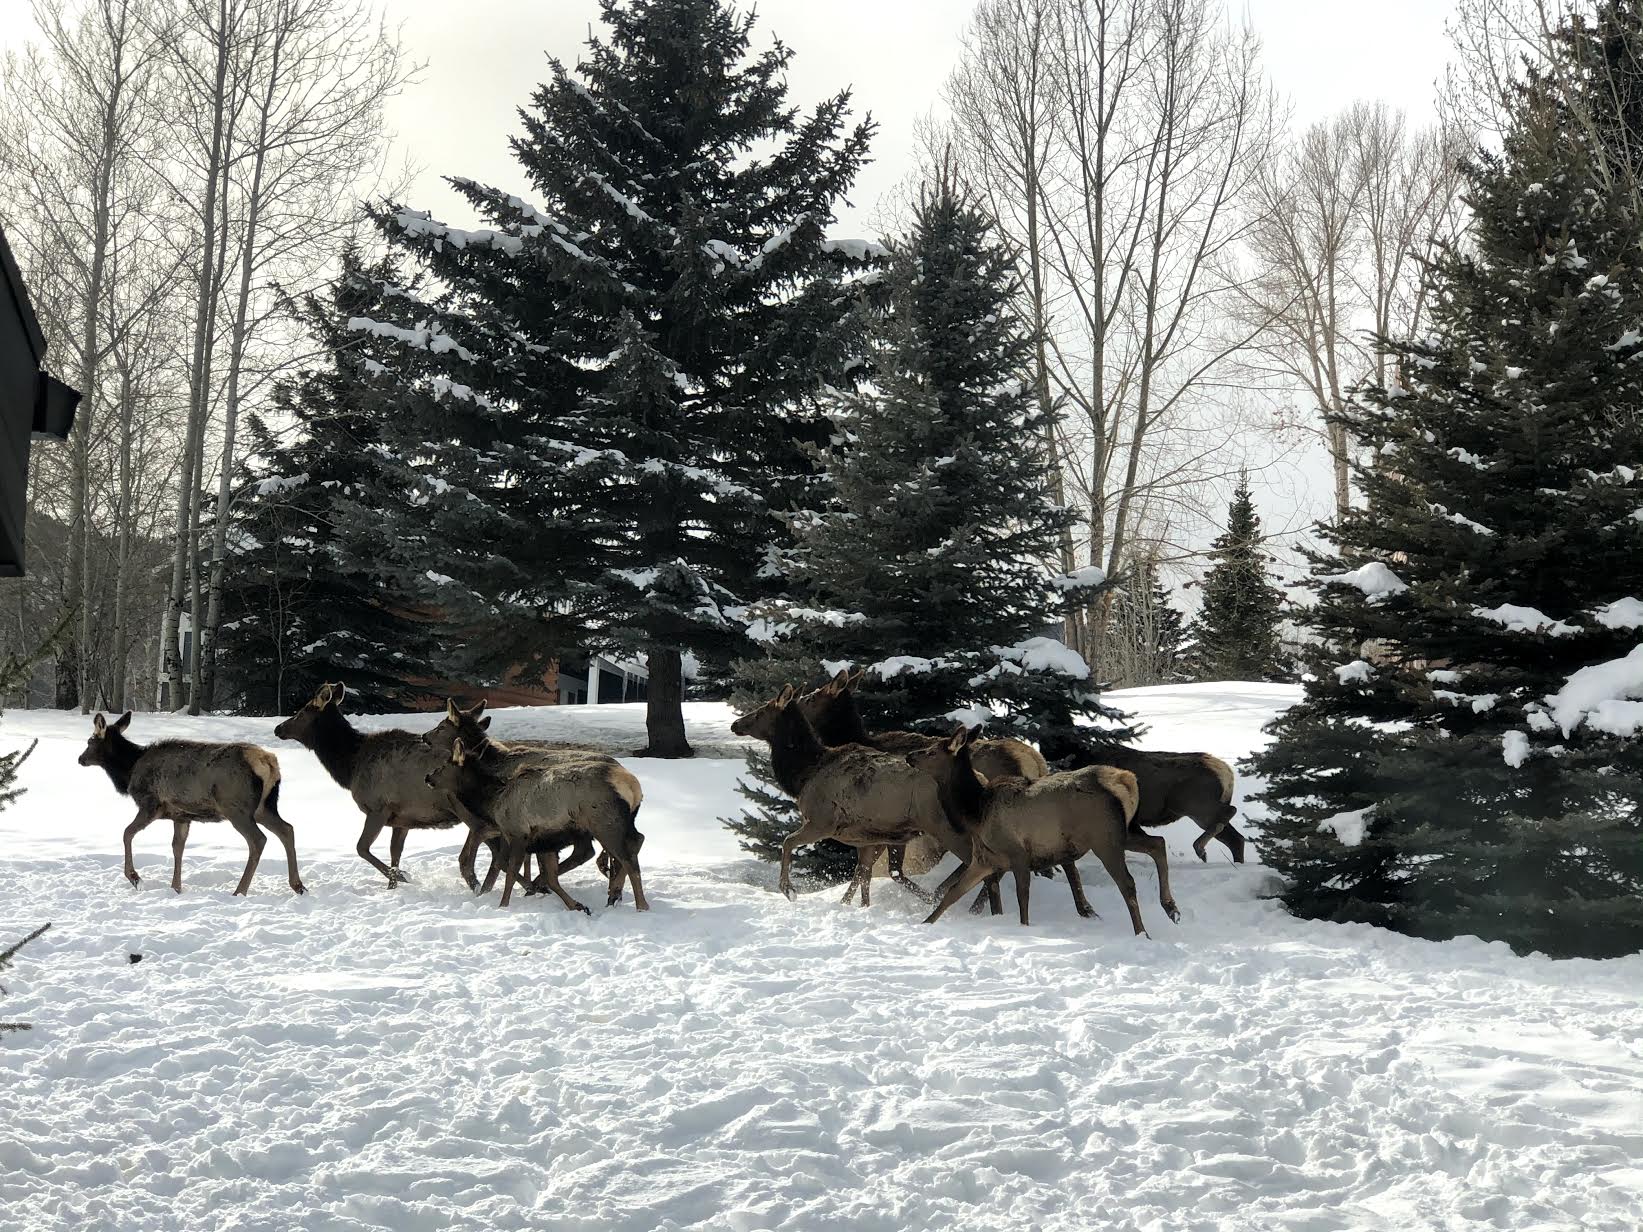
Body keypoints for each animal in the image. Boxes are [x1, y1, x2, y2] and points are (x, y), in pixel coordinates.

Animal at [76, 712, 305, 900]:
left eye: (89, 741)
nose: (80, 758)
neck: (129, 770)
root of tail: (269, 763)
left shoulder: (151, 804)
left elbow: (127, 833)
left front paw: (135, 878)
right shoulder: (181, 815)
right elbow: (177, 847)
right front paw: (176, 888)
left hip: (236, 807)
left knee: (258, 839)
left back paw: (240, 891)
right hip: (264, 807)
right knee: (287, 829)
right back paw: (298, 886)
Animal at [274, 686, 479, 887]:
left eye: (302, 711)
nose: (278, 728)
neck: (350, 766)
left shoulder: (378, 808)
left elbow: (361, 848)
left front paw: (401, 876)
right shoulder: (403, 818)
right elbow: (395, 852)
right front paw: (393, 884)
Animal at [423, 739, 647, 913]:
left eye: (443, 766)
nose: (427, 777)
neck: (492, 800)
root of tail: (632, 785)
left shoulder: (517, 833)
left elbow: (510, 870)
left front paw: (503, 905)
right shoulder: (543, 841)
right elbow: (548, 877)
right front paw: (576, 905)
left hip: (604, 822)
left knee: (627, 857)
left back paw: (639, 905)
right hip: (614, 823)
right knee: (636, 841)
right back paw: (615, 896)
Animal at [726, 686, 966, 906]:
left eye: (761, 711)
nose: (735, 724)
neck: (803, 775)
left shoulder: (822, 821)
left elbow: (787, 842)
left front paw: (788, 890)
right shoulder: (867, 837)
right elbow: (865, 874)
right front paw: (860, 907)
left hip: (943, 827)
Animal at [913, 722, 1156, 933]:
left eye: (931, 752)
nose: (909, 756)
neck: (975, 813)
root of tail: (1127, 780)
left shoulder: (1018, 854)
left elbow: (1023, 898)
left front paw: (1024, 928)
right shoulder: (984, 859)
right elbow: (953, 892)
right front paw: (925, 922)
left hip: (1104, 837)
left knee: (1127, 882)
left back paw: (1142, 932)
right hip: (1123, 832)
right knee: (1157, 844)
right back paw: (1165, 906)